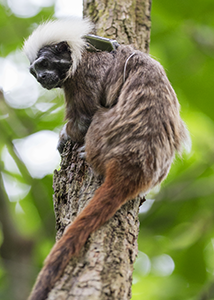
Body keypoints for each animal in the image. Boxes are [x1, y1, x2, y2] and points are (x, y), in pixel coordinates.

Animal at [23, 17, 191, 298]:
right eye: (35, 72)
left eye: (45, 64)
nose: (43, 78)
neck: (84, 54)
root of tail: (133, 167)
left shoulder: (84, 75)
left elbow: (84, 118)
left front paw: (64, 137)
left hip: (104, 139)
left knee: (97, 118)